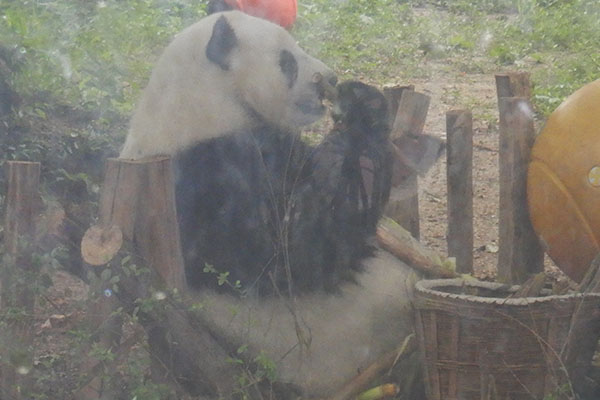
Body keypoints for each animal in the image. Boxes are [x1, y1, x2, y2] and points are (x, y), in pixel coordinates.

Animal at [117, 10, 418, 398]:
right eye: (287, 61)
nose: (330, 79)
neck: (204, 99)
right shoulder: (204, 176)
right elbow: (295, 254)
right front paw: (359, 120)